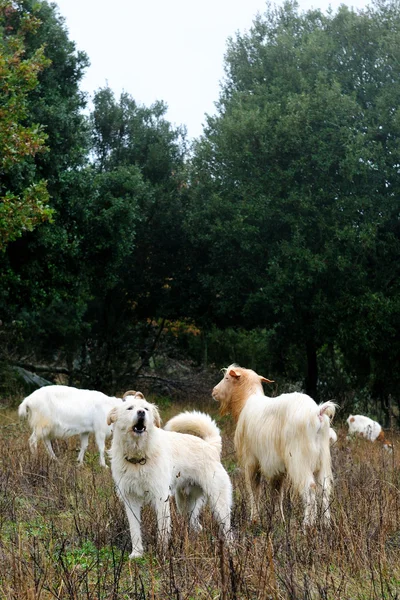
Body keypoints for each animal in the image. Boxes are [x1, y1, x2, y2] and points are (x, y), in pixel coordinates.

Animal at [107, 392, 231, 560]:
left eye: (146, 408)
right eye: (130, 408)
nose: (141, 413)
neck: (138, 458)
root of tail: (211, 447)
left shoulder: (160, 498)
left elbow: (163, 530)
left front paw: (161, 554)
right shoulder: (130, 499)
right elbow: (135, 530)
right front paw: (137, 553)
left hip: (219, 504)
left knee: (228, 531)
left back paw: (231, 551)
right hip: (185, 505)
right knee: (196, 526)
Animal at [212, 366, 338, 524]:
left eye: (227, 378)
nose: (214, 391)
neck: (246, 402)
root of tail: (318, 413)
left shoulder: (251, 461)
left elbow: (254, 489)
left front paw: (254, 519)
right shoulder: (278, 468)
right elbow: (277, 493)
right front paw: (279, 519)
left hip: (299, 459)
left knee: (310, 487)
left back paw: (308, 525)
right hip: (322, 459)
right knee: (324, 489)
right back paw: (326, 524)